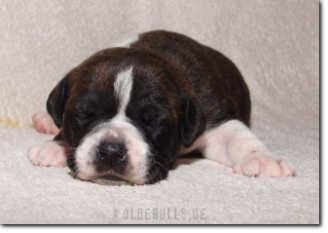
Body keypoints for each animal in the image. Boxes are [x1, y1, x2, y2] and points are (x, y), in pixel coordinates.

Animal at [27, 30, 294, 185]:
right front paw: (56, 146)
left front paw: (263, 158)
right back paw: (46, 120)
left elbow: (237, 138)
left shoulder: (215, 121)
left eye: (154, 122)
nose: (111, 150)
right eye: (83, 114)